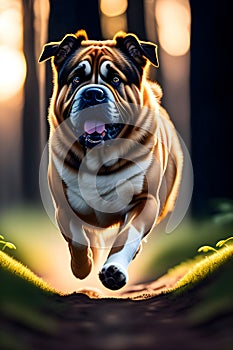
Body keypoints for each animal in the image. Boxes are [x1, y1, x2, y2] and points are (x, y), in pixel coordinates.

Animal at [38, 30, 184, 290]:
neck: (99, 157)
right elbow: (77, 237)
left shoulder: (144, 200)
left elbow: (128, 235)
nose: (93, 93)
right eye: (77, 79)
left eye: (115, 79)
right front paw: (82, 267)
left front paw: (114, 271)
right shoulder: (63, 204)